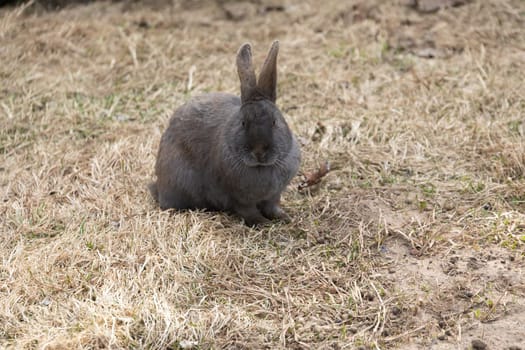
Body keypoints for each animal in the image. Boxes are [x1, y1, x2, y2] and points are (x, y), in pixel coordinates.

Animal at [149, 41, 300, 227]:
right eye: (243, 123)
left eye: (274, 122)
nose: (258, 152)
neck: (260, 167)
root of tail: (159, 186)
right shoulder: (238, 198)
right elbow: (248, 211)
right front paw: (262, 223)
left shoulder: (274, 195)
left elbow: (272, 207)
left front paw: (284, 217)